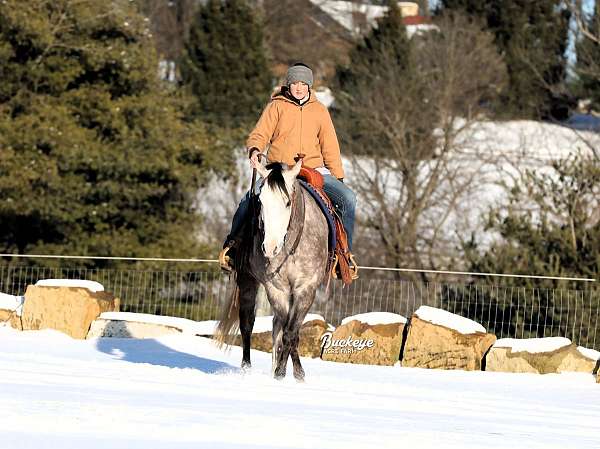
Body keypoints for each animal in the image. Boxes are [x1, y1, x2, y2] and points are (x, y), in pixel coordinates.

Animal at [216, 159, 328, 380]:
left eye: (287, 203)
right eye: (261, 203)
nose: (270, 248)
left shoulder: (306, 289)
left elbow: (291, 331)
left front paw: (292, 373)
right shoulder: (276, 289)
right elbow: (284, 329)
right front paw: (281, 372)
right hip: (247, 280)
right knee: (247, 323)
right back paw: (246, 368)